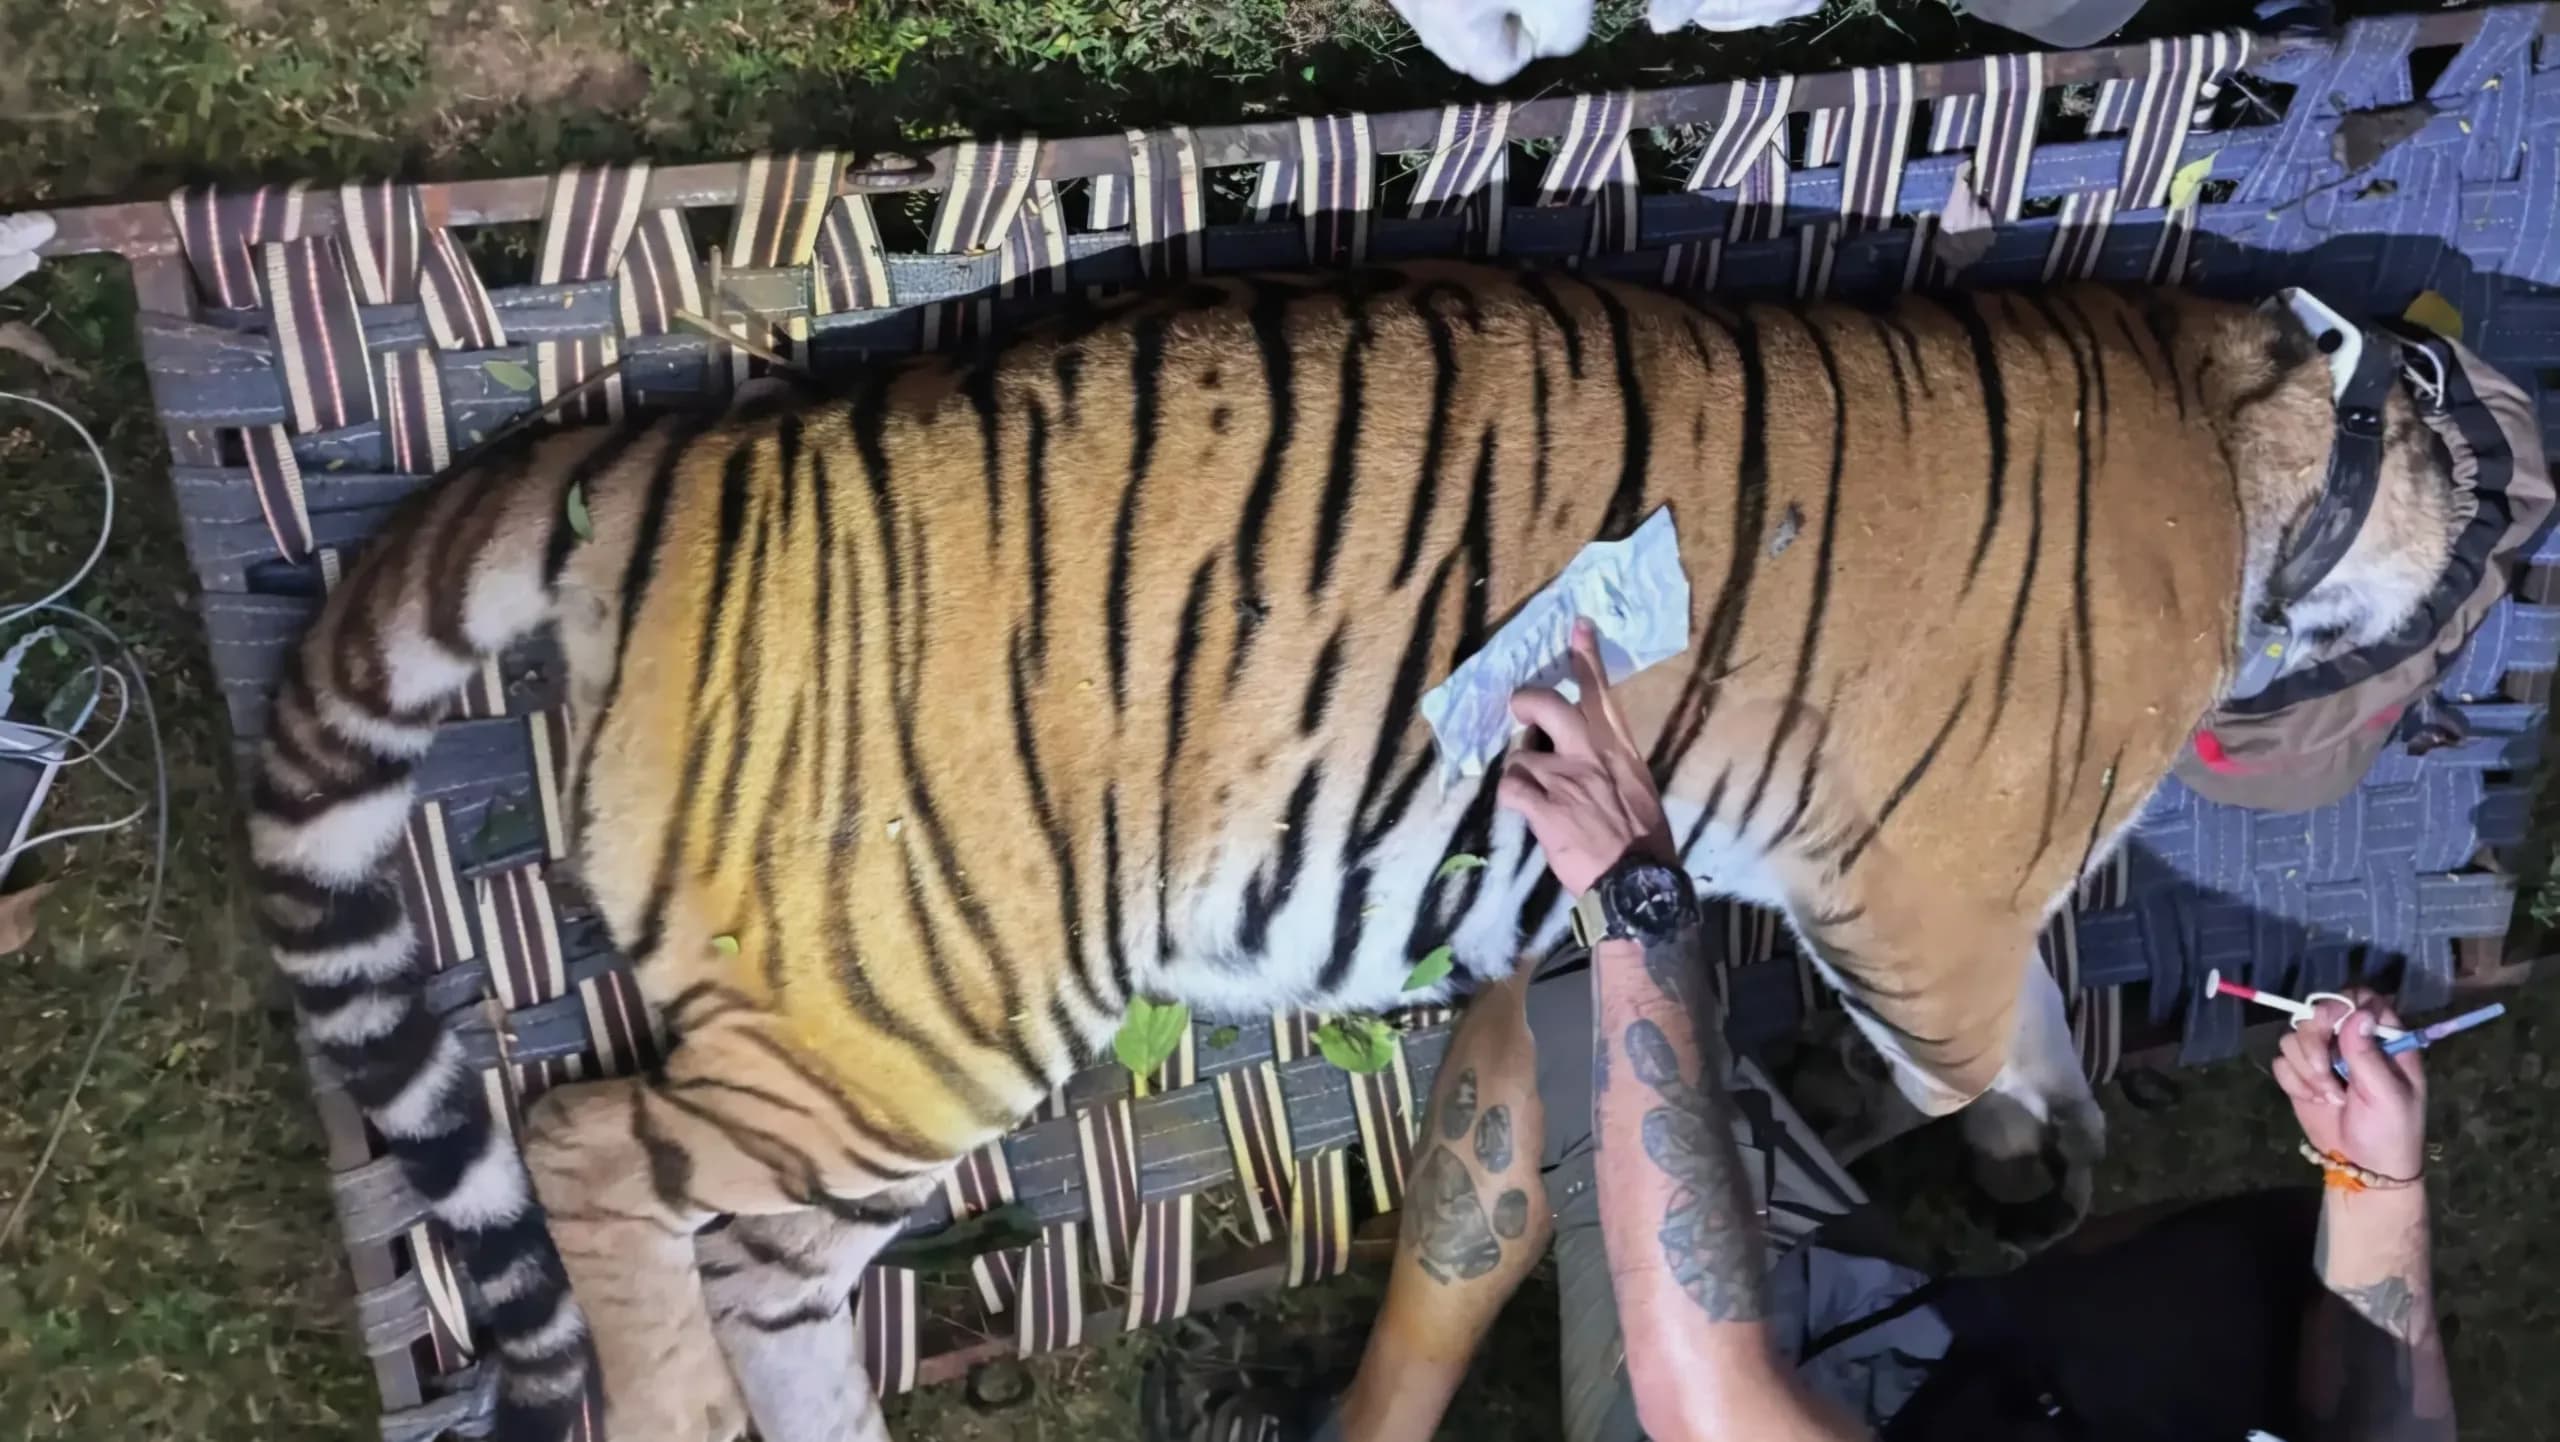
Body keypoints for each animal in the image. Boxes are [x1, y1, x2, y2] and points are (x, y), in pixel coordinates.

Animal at [248, 261, 2463, 1442]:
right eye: (2451, 402)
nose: (2498, 486)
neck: (2228, 436)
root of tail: (681, 461)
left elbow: (2031, 1034)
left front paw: (2045, 1153)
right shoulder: (1912, 893)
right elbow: (1957, 1035)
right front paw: (1976, 1137)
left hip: (869, 1044)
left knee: (759, 1259)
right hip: (916, 998)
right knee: (584, 1150)